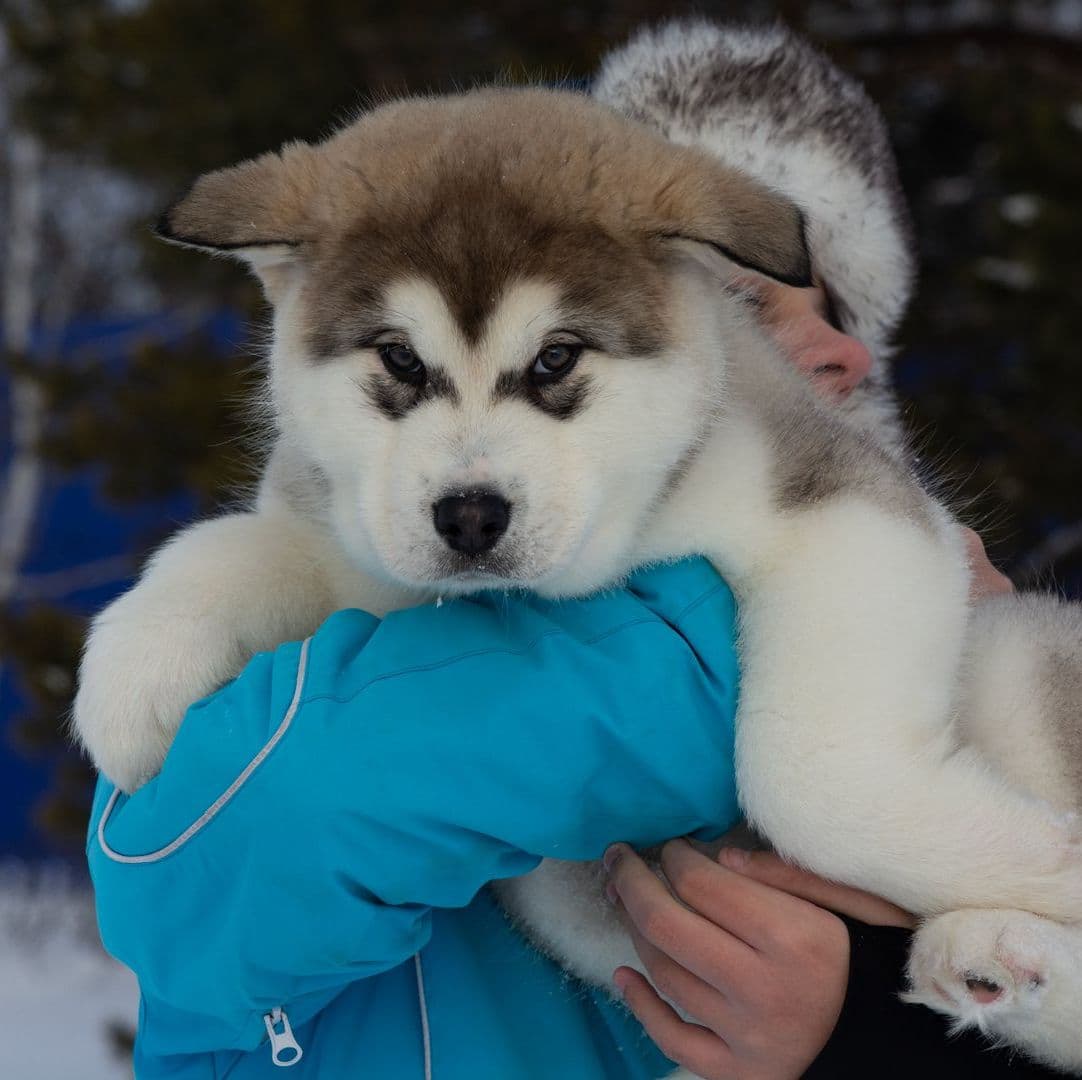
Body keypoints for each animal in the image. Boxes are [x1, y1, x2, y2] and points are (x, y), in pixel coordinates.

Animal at [74, 86, 1082, 1073]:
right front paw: (133, 680)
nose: (469, 516)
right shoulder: (350, 546)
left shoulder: (841, 503)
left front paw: (1052, 863)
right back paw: (990, 958)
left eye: (557, 356)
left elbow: (805, 775)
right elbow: (229, 545)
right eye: (399, 357)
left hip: (1008, 653)